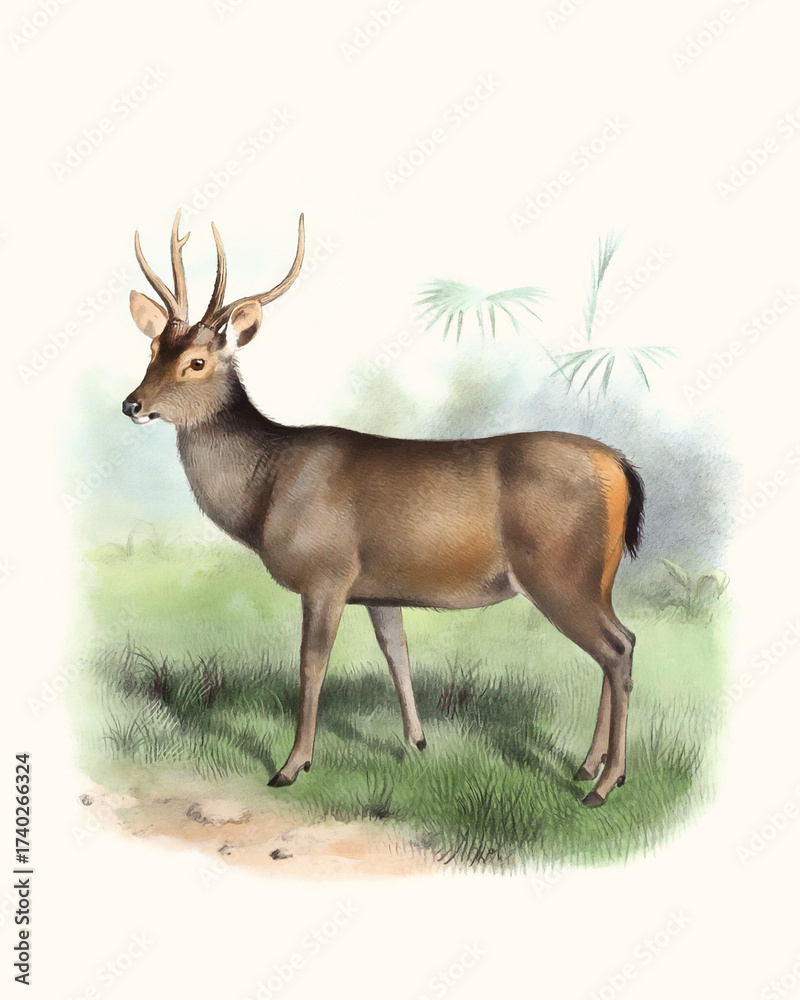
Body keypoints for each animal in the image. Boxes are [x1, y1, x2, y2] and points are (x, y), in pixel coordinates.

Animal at [123, 211, 644, 807]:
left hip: (559, 571)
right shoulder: (378, 588)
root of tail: (621, 467)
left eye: (197, 361)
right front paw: (416, 743)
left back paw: (604, 783)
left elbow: (312, 665)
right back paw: (588, 766)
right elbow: (397, 654)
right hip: (599, 576)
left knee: (616, 648)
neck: (266, 492)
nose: (132, 404)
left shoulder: (327, 572)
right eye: (152, 350)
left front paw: (291, 765)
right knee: (621, 643)